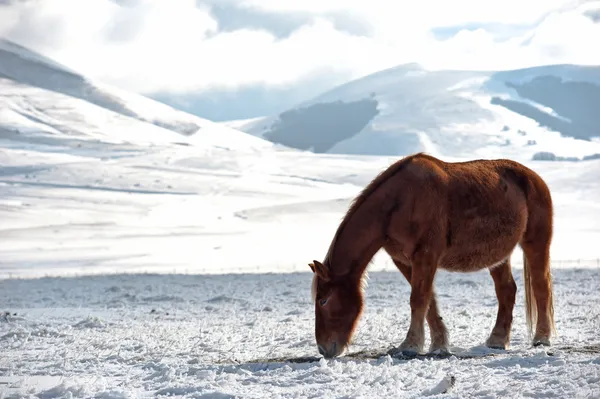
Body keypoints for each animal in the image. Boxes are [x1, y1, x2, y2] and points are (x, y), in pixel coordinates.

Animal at [312, 152, 556, 360]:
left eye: (323, 300)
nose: (324, 349)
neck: (399, 201)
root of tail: (535, 178)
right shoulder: (404, 261)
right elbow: (429, 302)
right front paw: (438, 344)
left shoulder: (426, 255)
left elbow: (419, 299)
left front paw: (410, 345)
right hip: (498, 256)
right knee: (506, 291)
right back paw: (497, 340)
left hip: (536, 243)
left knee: (541, 287)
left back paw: (542, 338)